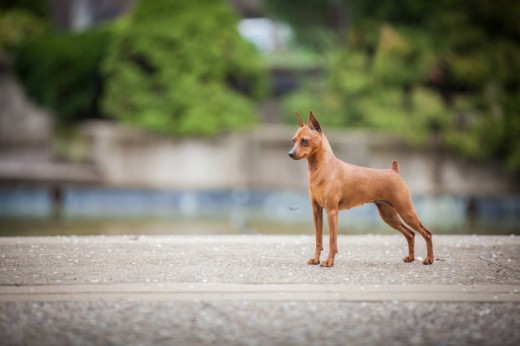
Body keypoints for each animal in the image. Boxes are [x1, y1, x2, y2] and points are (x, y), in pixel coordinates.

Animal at [288, 111, 434, 268]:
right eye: (293, 140)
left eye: (304, 141)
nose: (290, 154)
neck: (323, 167)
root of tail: (394, 171)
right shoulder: (317, 212)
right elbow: (318, 240)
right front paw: (316, 259)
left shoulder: (332, 212)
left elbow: (332, 241)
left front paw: (329, 261)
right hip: (389, 215)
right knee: (410, 234)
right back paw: (411, 257)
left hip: (406, 211)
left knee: (426, 233)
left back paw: (429, 259)